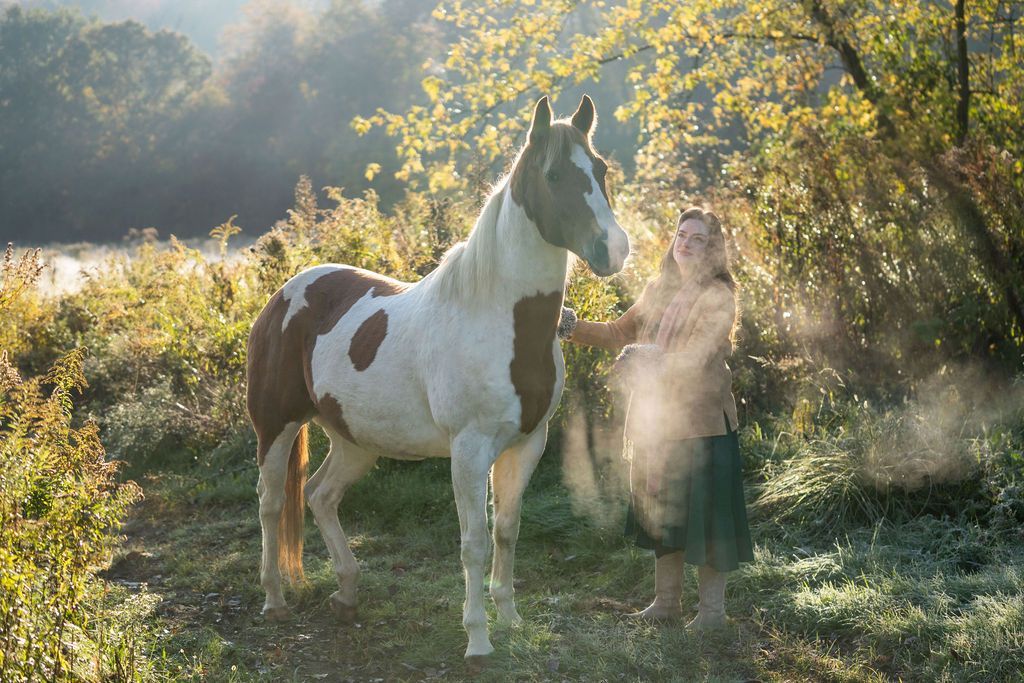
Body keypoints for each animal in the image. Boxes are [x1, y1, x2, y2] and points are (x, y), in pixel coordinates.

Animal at [246, 94, 629, 661]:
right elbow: (473, 542)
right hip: (276, 426)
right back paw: (273, 601)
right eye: (555, 174)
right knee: (272, 504)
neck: (496, 318)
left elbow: (507, 531)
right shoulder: (468, 449)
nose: (614, 250)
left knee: (319, 495)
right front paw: (478, 639)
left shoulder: (528, 443)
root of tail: (283, 296)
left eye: (600, 169)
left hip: (354, 440)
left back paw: (347, 592)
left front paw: (511, 619)